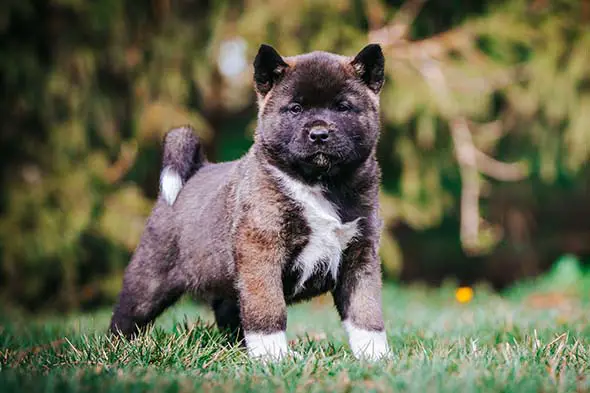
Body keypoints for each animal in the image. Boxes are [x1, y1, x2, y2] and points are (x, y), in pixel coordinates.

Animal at [110, 44, 394, 360]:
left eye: (343, 107)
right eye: (296, 109)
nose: (319, 134)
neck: (318, 183)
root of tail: (196, 169)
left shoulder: (360, 256)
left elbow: (366, 313)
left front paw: (376, 357)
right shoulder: (261, 250)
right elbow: (267, 309)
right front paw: (273, 357)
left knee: (229, 311)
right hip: (149, 279)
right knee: (127, 315)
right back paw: (118, 349)